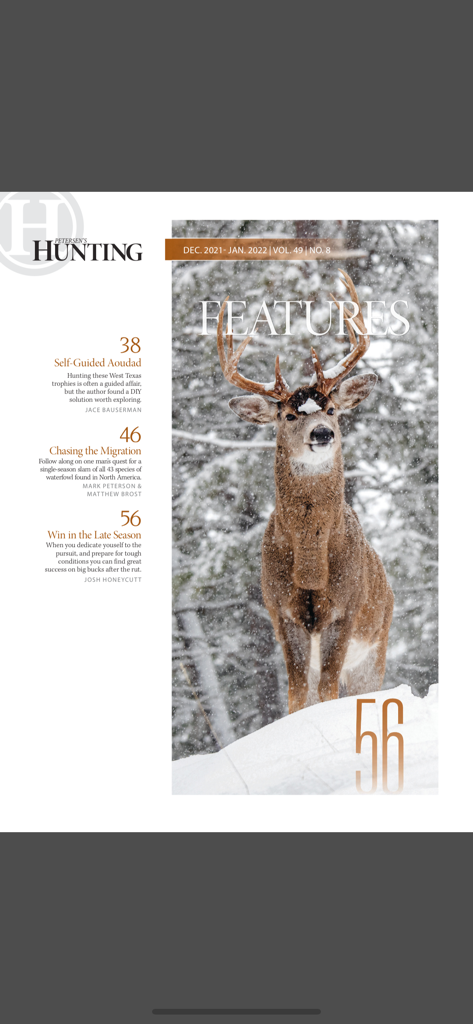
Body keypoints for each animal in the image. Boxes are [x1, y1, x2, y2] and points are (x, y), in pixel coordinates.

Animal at [217, 269, 394, 714]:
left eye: (331, 408)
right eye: (288, 415)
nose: (322, 432)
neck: (313, 561)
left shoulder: (345, 608)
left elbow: (330, 690)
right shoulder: (282, 611)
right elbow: (296, 697)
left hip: (377, 645)